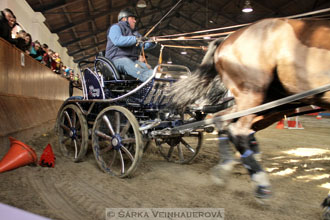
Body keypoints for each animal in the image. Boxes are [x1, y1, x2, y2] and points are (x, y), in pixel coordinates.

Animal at [170, 18, 330, 201]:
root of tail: (228, 38)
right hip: (253, 94)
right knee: (235, 129)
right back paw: (259, 182)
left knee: (226, 122)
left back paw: (230, 167)